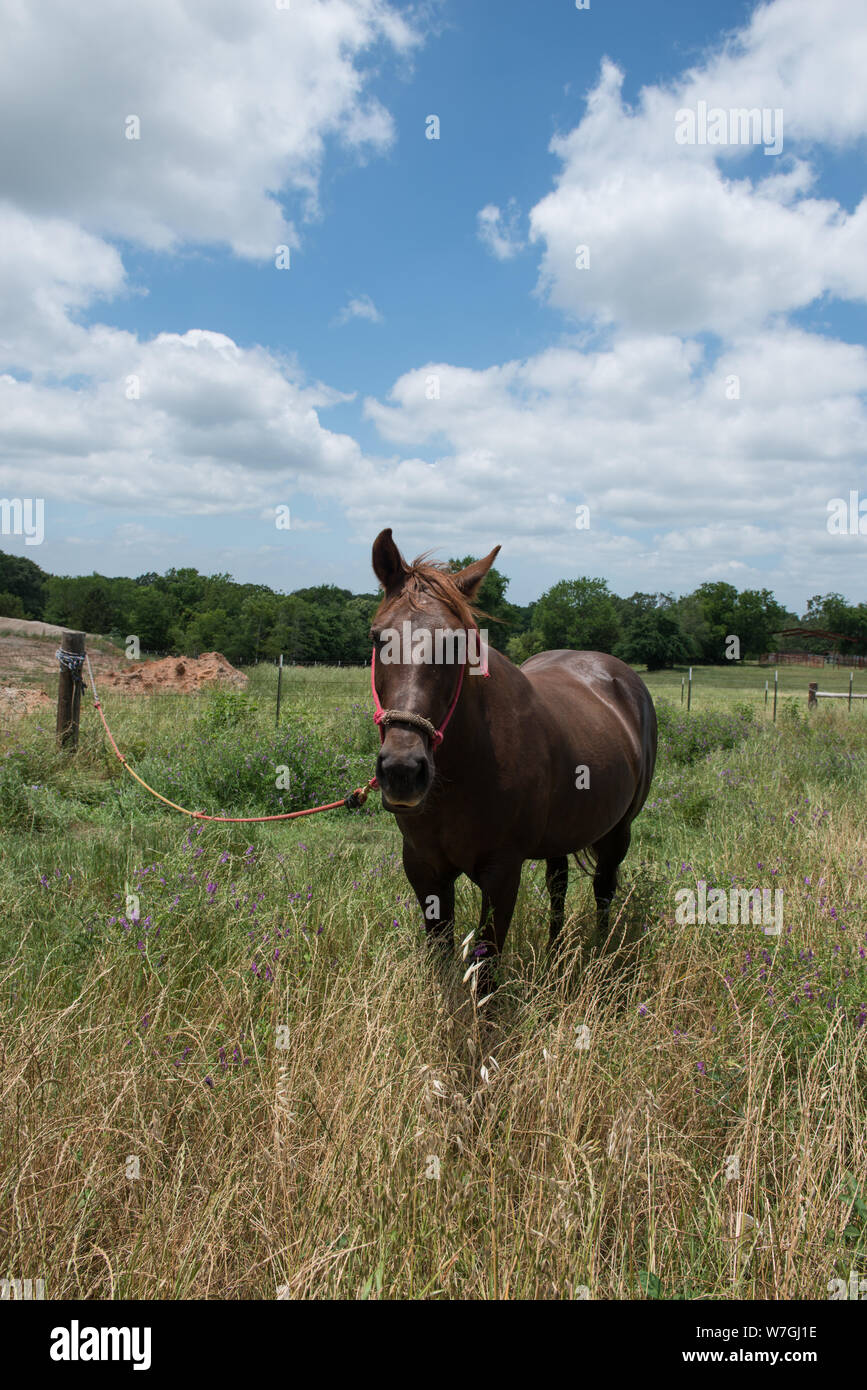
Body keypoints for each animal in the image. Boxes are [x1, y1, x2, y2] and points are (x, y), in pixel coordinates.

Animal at [369, 528, 657, 989]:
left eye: (457, 643)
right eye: (378, 637)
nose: (403, 771)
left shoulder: (501, 874)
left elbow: (486, 967)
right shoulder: (424, 868)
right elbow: (440, 956)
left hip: (618, 831)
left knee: (603, 890)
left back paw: (601, 954)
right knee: (559, 884)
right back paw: (556, 953)